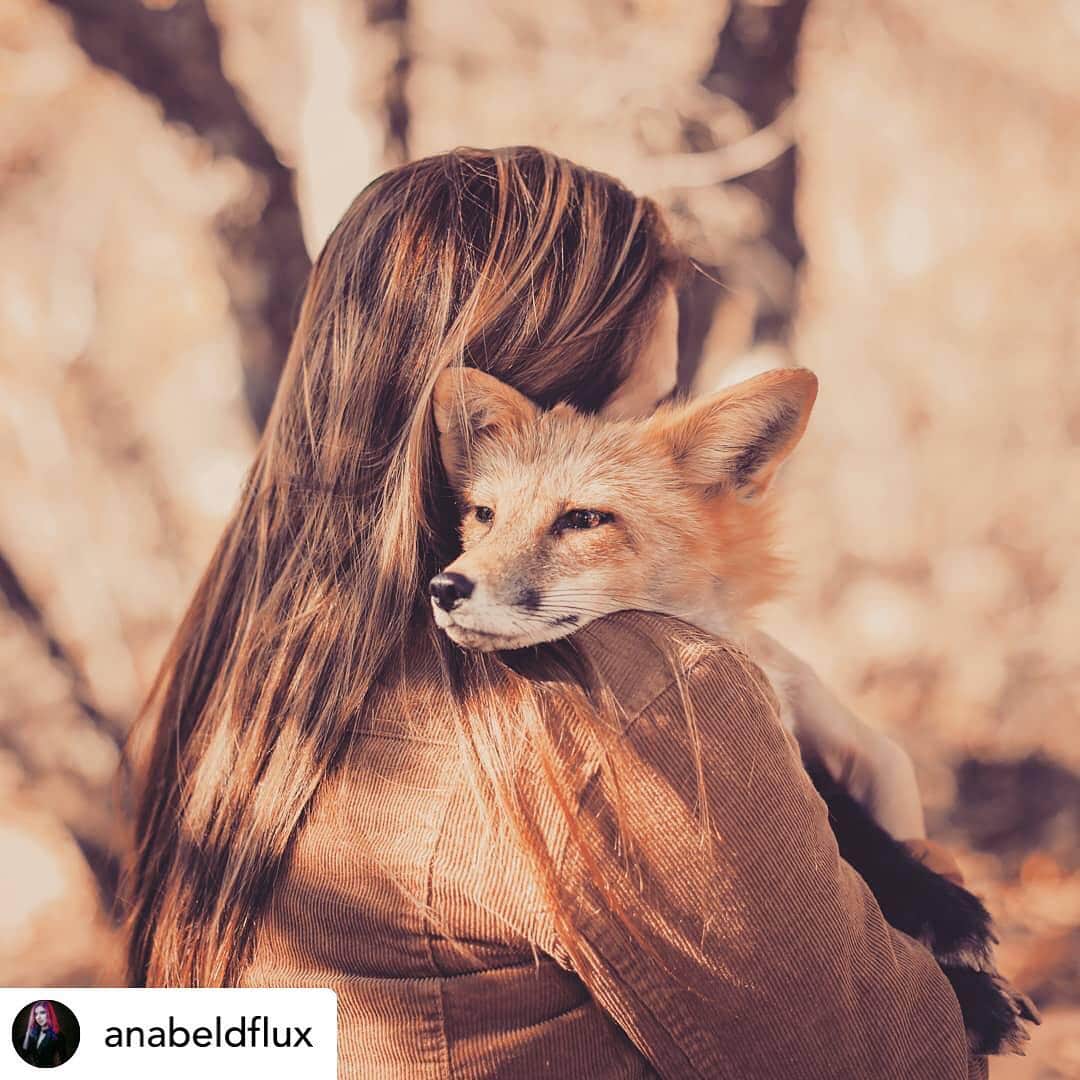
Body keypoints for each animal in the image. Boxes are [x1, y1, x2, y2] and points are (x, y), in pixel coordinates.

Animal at [428, 364, 1039, 1056]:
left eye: (584, 519)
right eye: (484, 514)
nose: (445, 587)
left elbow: (849, 817)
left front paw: (939, 903)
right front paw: (975, 998)